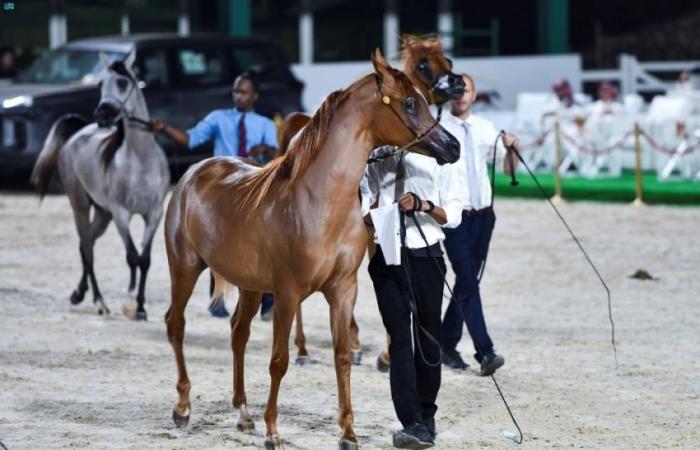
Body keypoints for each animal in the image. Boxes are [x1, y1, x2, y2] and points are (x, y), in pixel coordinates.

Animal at [31, 51, 171, 322]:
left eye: (123, 82)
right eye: (100, 85)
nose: (102, 115)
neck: (141, 159)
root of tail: (78, 133)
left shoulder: (153, 214)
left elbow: (145, 259)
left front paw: (140, 308)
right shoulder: (121, 214)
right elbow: (132, 257)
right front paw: (129, 303)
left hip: (102, 213)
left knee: (87, 243)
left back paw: (79, 293)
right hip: (81, 205)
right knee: (87, 247)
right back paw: (99, 302)